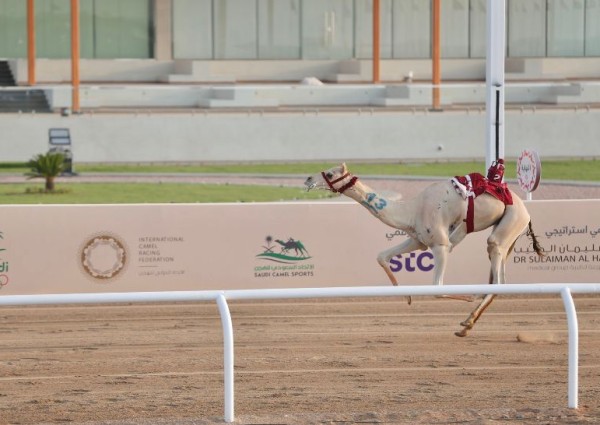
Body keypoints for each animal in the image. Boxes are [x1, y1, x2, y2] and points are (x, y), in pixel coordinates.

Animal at [304, 161, 544, 336]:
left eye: (331, 174)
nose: (308, 179)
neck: (412, 210)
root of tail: (526, 211)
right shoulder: (417, 240)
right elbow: (382, 256)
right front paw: (408, 297)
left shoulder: (440, 244)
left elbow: (437, 288)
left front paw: (468, 297)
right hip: (508, 235)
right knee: (497, 277)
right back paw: (467, 323)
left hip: (510, 223)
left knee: (498, 276)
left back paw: (467, 322)